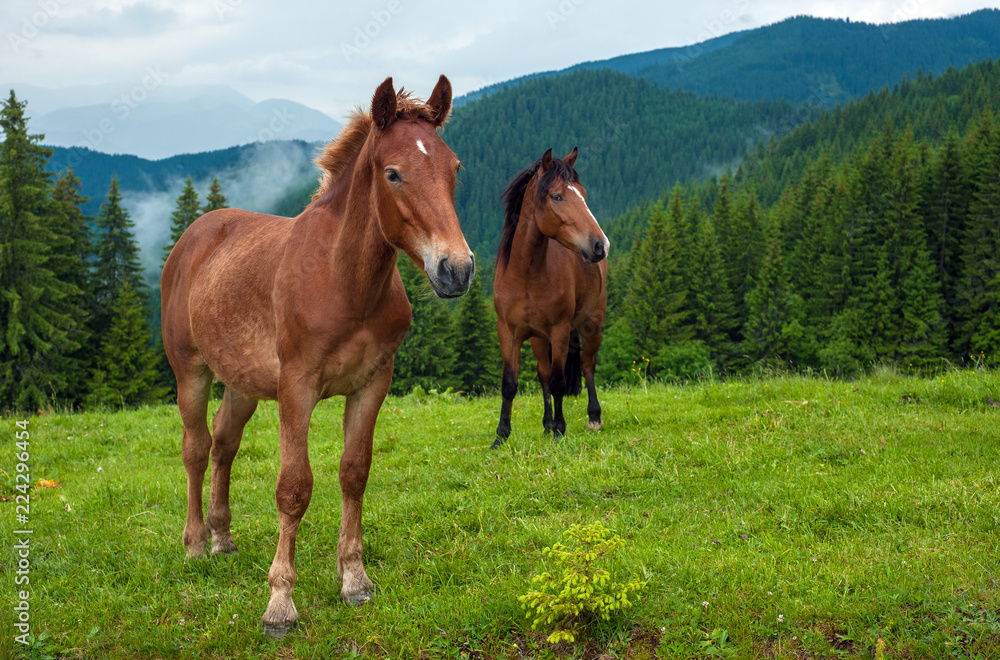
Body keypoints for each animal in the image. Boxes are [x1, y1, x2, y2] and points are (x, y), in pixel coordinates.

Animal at [160, 75, 474, 638]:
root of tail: (192, 237)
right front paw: (280, 603)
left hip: (241, 383)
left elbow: (354, 472)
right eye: (393, 173)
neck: (343, 280)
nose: (455, 270)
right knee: (195, 448)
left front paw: (354, 580)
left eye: (453, 167)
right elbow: (294, 488)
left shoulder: (373, 383)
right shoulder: (297, 388)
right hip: (190, 372)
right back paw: (195, 544)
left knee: (223, 445)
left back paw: (222, 537)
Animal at [491, 148, 609, 449]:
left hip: (591, 326)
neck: (526, 276)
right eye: (557, 196)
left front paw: (559, 430)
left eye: (583, 193)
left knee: (587, 365)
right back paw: (545, 425)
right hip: (538, 339)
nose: (600, 245)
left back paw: (593, 417)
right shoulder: (508, 333)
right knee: (543, 373)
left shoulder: (559, 331)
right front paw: (501, 436)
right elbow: (510, 384)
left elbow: (558, 382)